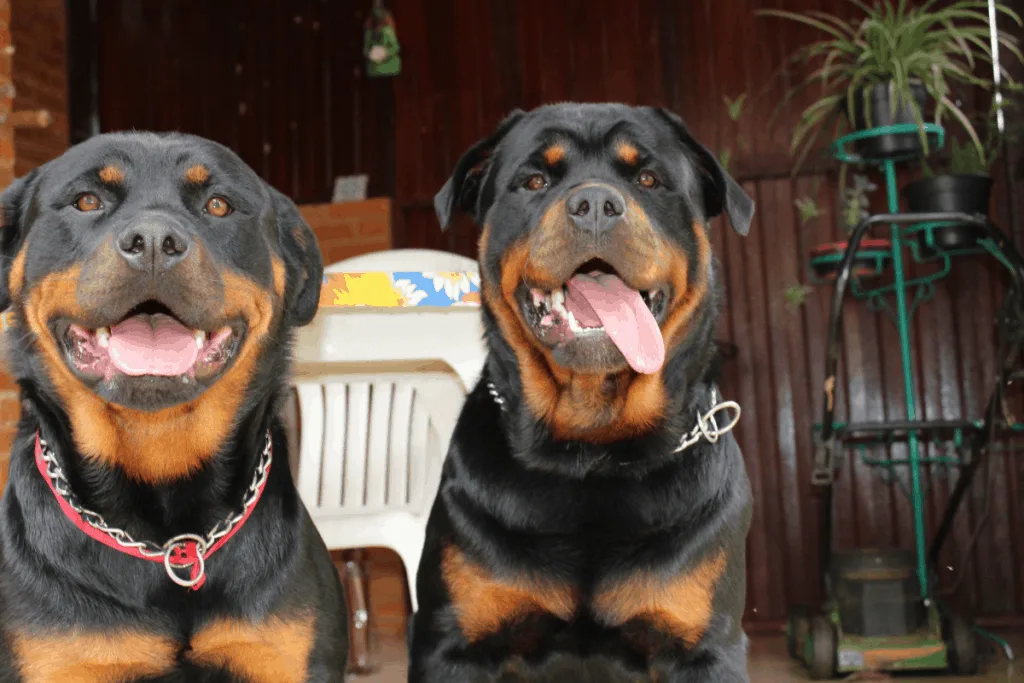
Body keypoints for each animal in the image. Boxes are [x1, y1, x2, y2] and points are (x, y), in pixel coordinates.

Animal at [411, 102, 757, 683]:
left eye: (648, 179)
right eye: (534, 181)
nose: (595, 204)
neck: (591, 452)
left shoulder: (706, 648)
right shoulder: (453, 645)